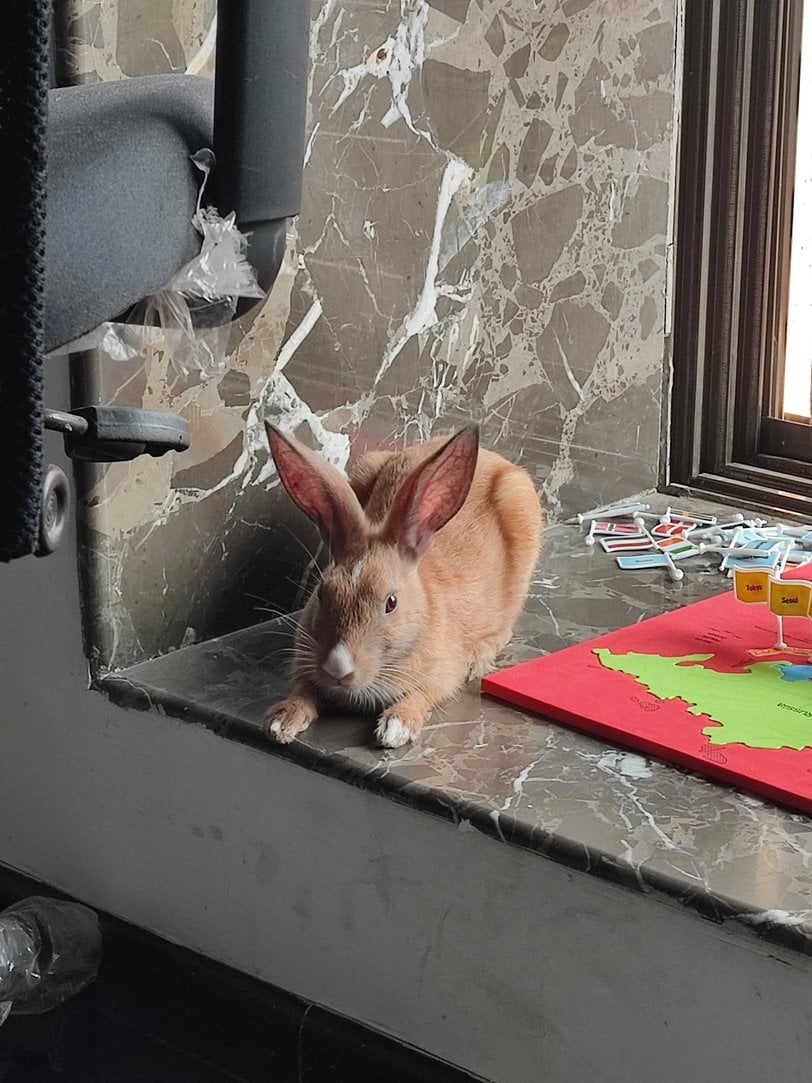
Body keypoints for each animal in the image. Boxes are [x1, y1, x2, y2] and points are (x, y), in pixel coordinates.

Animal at [263, 422, 542, 749]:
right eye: (322, 593)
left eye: (391, 603)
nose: (338, 668)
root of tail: (492, 457)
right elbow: (302, 690)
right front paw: (282, 722)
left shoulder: (440, 677)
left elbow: (421, 696)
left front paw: (395, 728)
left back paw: (477, 660)